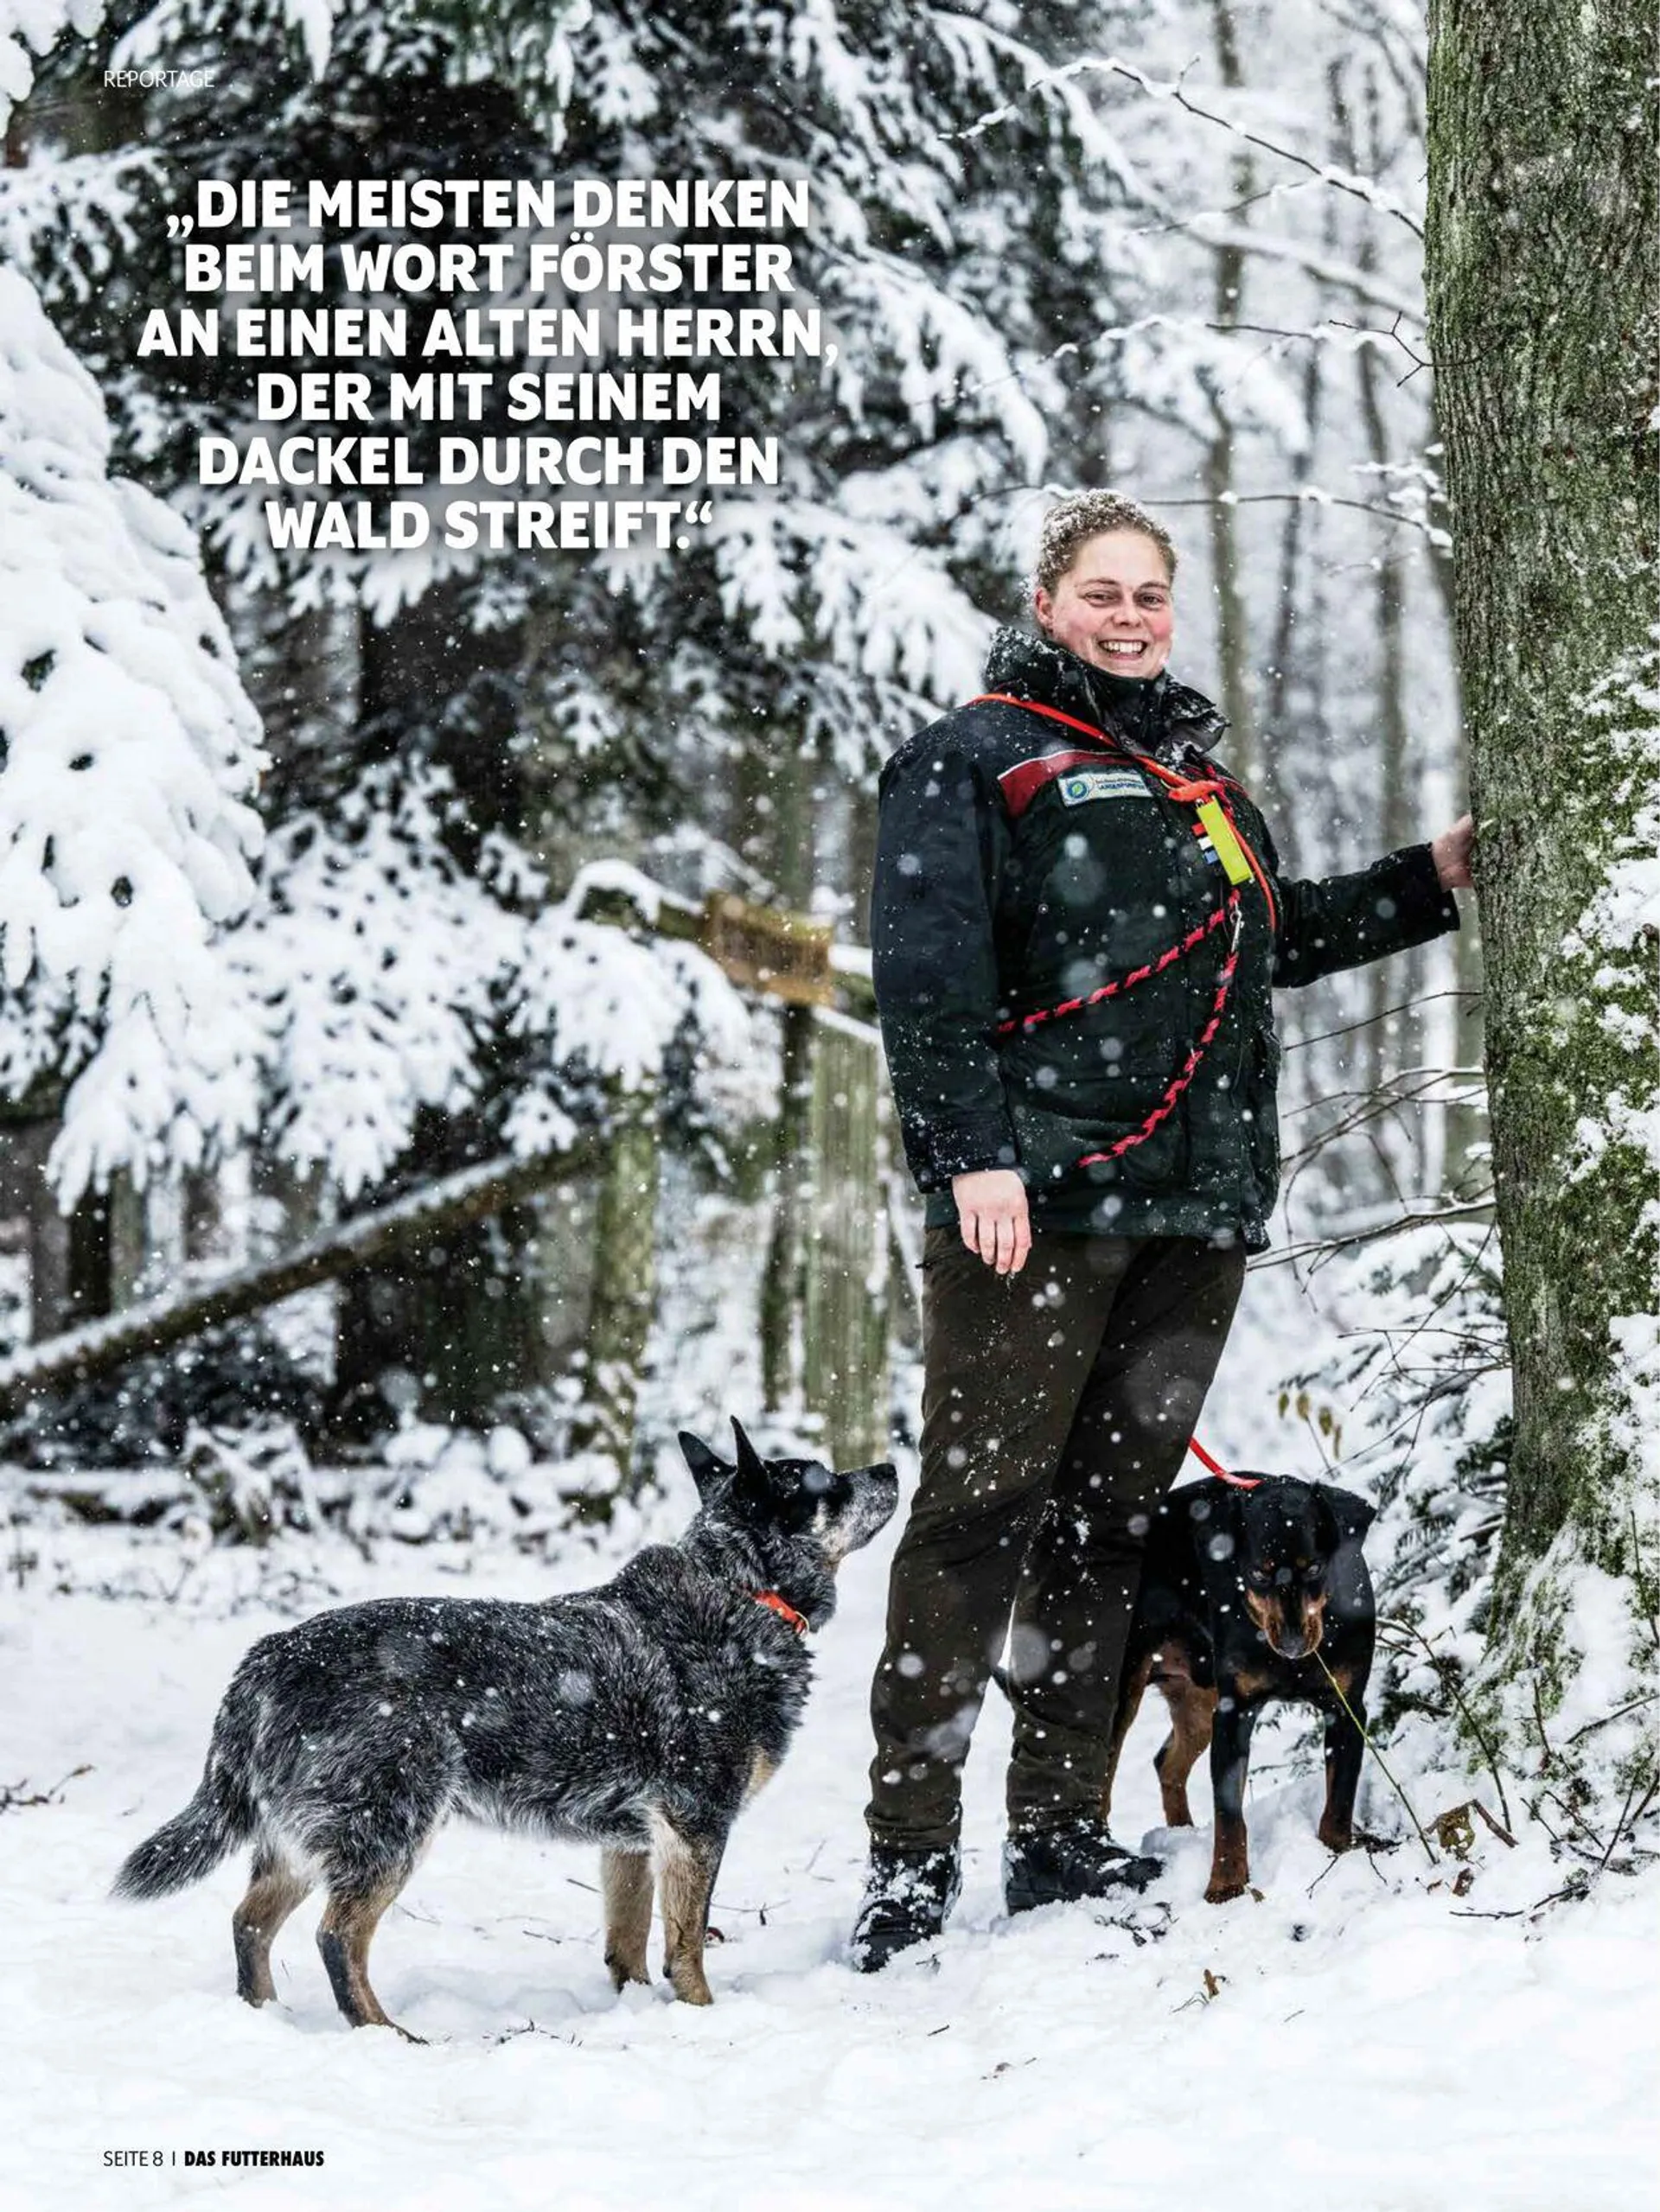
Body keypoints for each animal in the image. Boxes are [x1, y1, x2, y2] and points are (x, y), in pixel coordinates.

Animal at [115, 1424, 898, 2026]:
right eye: (826, 1480)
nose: (891, 1465)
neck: (740, 1591)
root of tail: (266, 1658)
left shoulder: (632, 1841)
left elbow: (628, 1940)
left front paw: (636, 2009)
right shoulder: (696, 1822)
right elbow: (686, 1945)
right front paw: (700, 2016)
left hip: (302, 1836)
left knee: (249, 1921)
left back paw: (264, 2016)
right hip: (391, 1823)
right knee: (338, 1936)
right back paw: (384, 2032)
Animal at [1111, 1469, 1381, 1902]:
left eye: (1314, 1568)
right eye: (1256, 1574)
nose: (1292, 1642)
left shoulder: (1347, 1708)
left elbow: (1340, 1795)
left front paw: (1335, 1855)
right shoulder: (1233, 1713)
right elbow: (1229, 1814)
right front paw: (1226, 1885)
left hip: (1199, 1699)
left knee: (1167, 1761)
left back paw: (1181, 1834)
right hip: (1127, 1684)